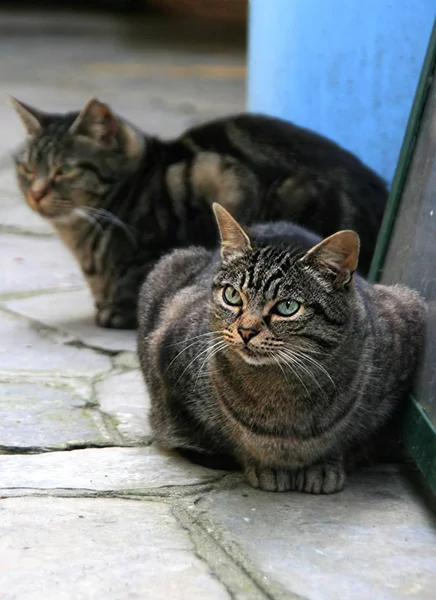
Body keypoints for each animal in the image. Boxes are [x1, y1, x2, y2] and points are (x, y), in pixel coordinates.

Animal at [137, 204, 426, 494]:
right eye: (232, 295)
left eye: (287, 307)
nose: (246, 331)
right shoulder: (167, 356)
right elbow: (227, 442)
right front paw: (265, 466)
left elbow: (349, 441)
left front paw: (323, 466)